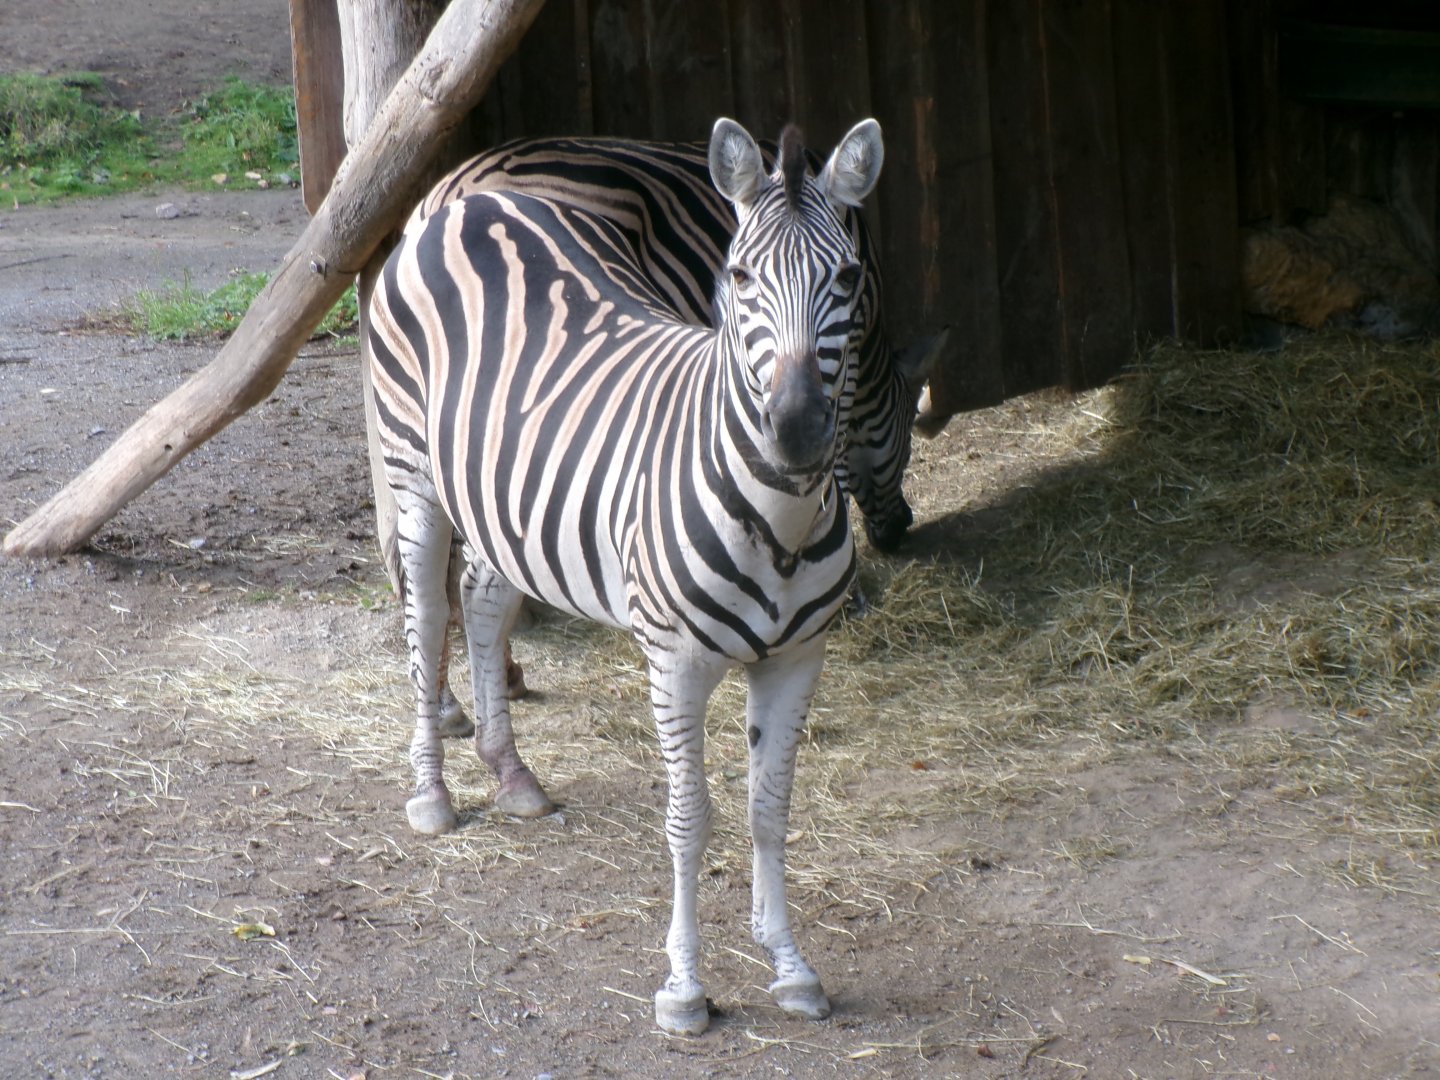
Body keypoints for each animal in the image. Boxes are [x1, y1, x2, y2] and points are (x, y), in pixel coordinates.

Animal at [368, 117, 884, 1035]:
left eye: (848, 278)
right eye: (739, 275)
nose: (795, 432)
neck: (780, 527)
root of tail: (469, 200)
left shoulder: (798, 659)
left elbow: (769, 810)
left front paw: (790, 968)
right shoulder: (674, 663)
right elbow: (690, 820)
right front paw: (684, 987)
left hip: (503, 495)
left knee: (484, 601)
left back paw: (512, 773)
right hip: (414, 471)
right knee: (427, 619)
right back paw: (432, 792)